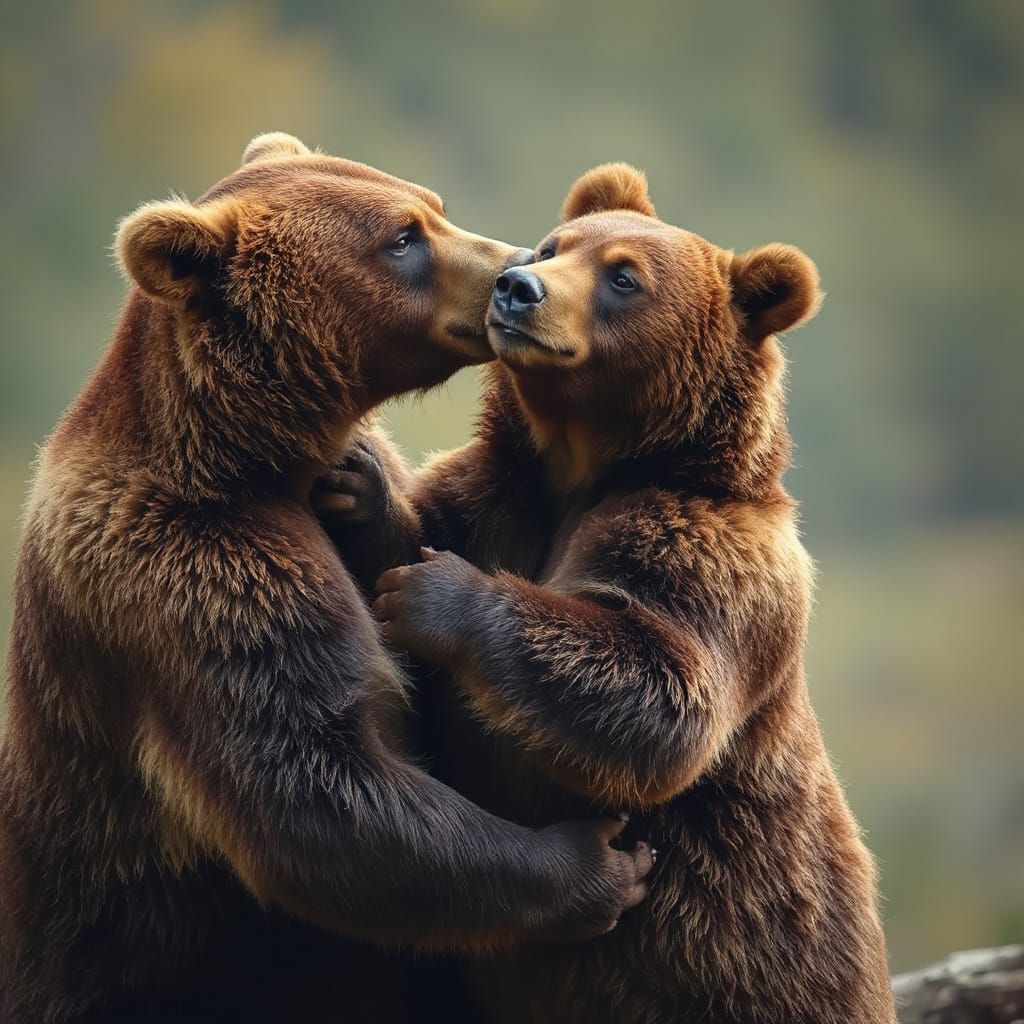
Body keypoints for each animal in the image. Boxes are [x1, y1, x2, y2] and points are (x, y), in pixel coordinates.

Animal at [0, 139, 652, 1024]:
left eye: (431, 205)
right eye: (402, 238)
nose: (516, 267)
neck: (249, 454)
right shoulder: (187, 570)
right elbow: (316, 788)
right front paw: (598, 862)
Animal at [328, 164, 897, 1023]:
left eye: (623, 276)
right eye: (554, 244)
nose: (517, 288)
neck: (581, 466)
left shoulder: (703, 554)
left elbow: (656, 688)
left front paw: (436, 594)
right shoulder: (499, 500)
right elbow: (424, 534)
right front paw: (361, 489)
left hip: (756, 966)